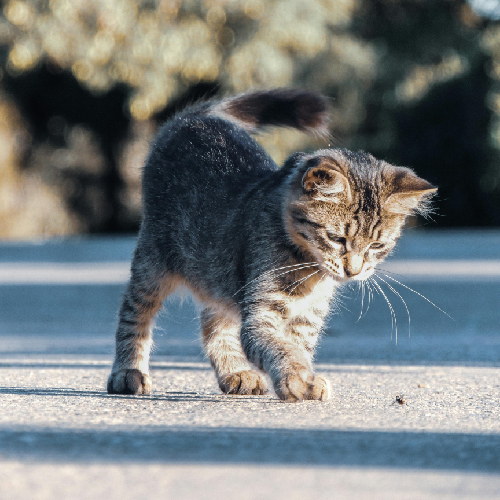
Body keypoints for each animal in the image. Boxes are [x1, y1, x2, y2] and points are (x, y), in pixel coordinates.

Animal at [107, 89, 436, 402]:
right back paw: (128, 372)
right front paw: (298, 378)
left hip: (217, 272)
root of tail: (195, 117)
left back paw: (235, 373)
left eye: (376, 246)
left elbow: (297, 346)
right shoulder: (260, 312)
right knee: (134, 313)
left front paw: (303, 378)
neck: (310, 274)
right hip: (153, 261)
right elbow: (279, 347)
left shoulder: (308, 316)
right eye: (337, 238)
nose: (353, 272)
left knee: (213, 321)